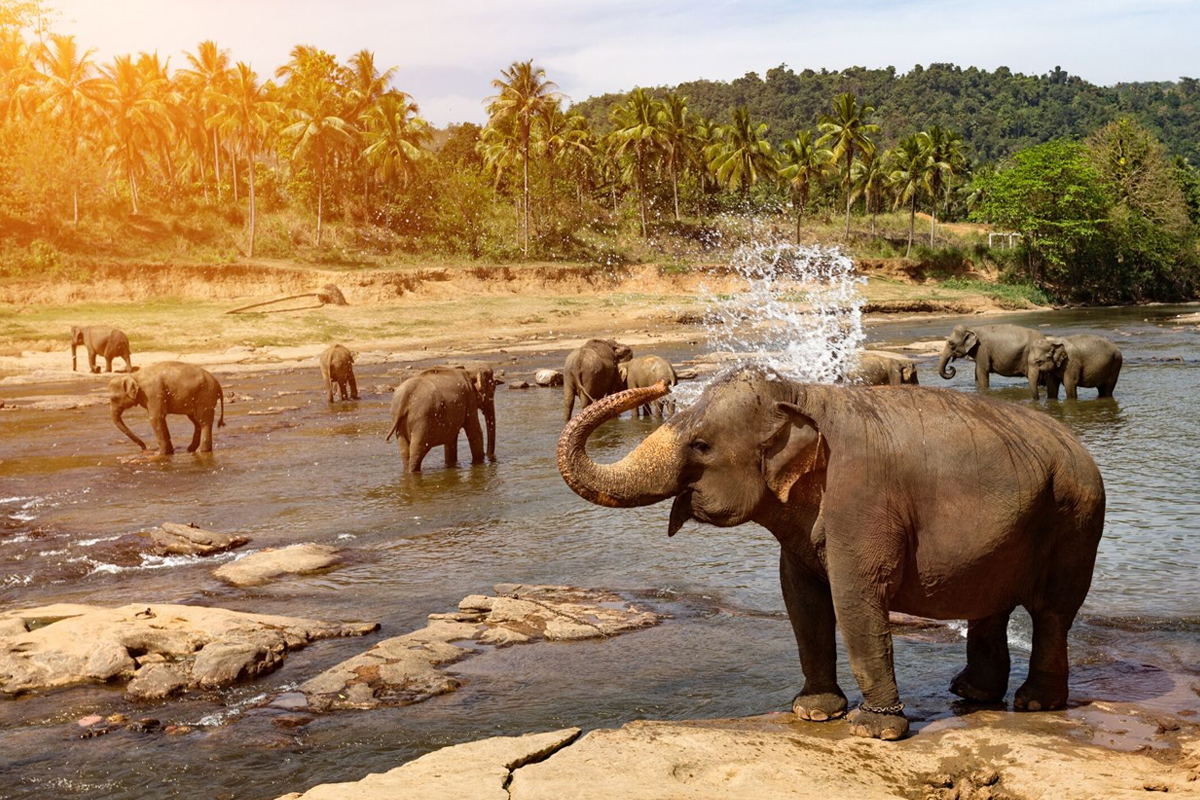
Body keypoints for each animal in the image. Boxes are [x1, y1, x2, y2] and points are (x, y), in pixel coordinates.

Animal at [557, 368, 1105, 740]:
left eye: (701, 445)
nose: (658, 385)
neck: (800, 394)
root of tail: (1078, 445)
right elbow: (801, 601)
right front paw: (815, 712)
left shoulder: (862, 501)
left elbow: (856, 598)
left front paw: (873, 731)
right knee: (991, 605)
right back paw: (971, 693)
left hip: (1076, 518)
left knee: (1053, 611)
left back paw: (1034, 704)